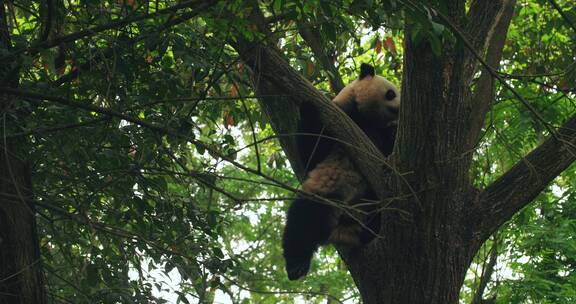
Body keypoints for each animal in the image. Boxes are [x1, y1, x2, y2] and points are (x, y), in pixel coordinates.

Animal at [282, 62, 398, 280]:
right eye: (390, 93)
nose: (400, 110)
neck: (365, 120)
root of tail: (346, 230)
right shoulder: (339, 119)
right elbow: (310, 154)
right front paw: (308, 109)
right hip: (329, 194)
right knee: (304, 219)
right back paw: (296, 265)